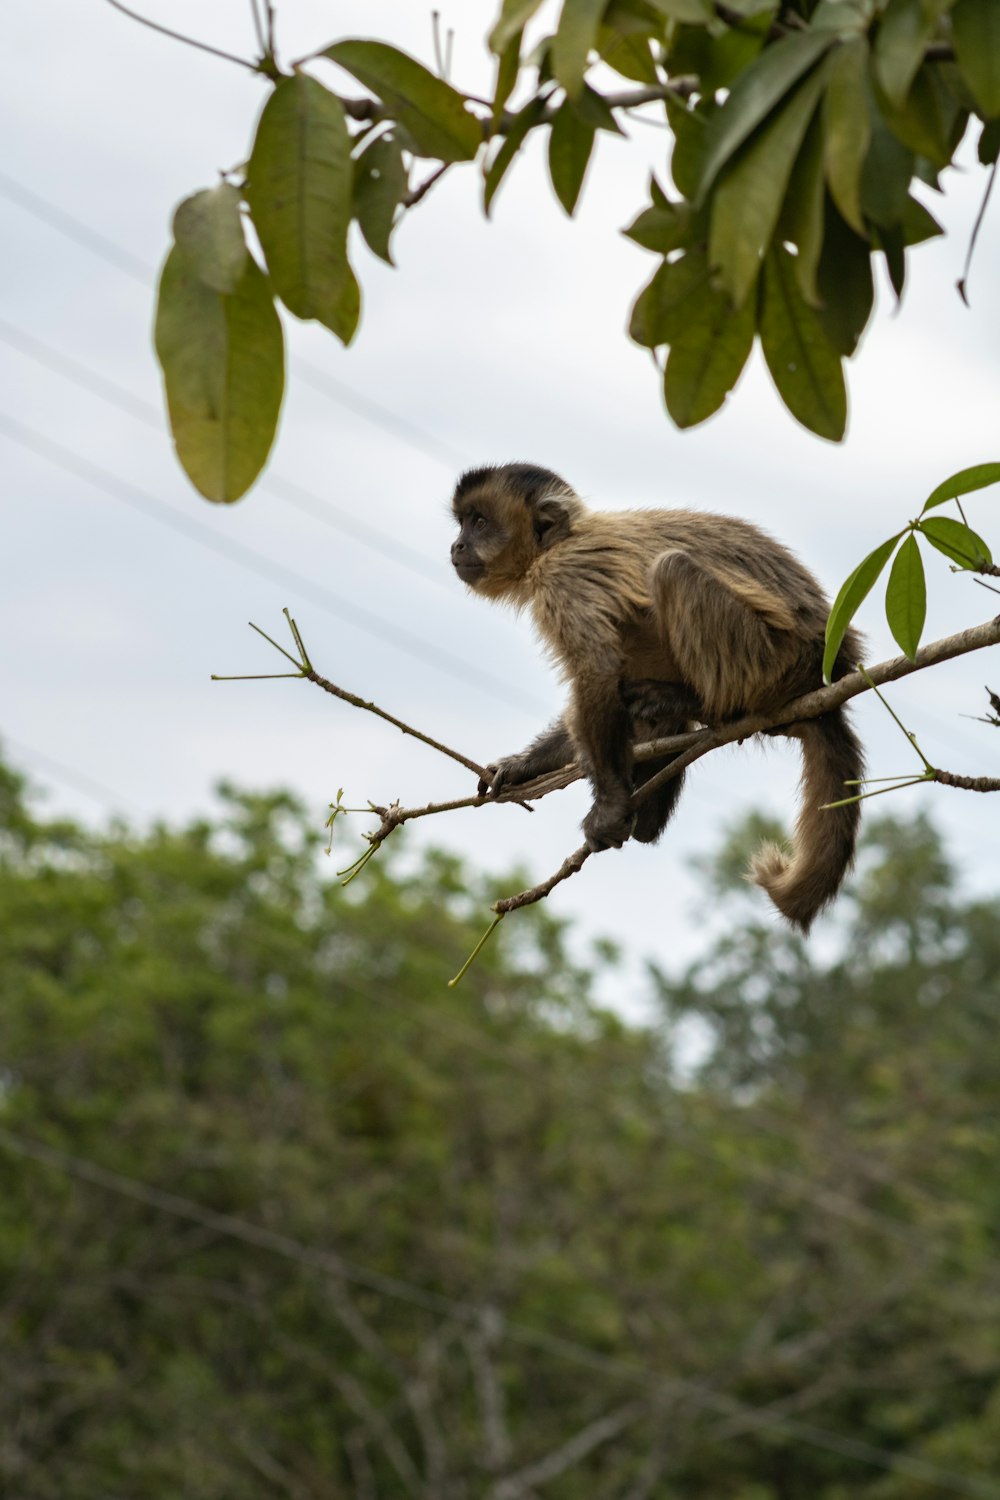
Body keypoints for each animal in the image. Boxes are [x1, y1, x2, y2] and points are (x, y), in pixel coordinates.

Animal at [449, 462, 863, 930]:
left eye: (479, 522)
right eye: (463, 523)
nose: (458, 544)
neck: (560, 543)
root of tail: (829, 667)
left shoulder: (563, 578)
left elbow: (598, 672)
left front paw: (610, 808)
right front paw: (522, 766)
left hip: (772, 659)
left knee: (671, 570)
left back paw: (704, 711)